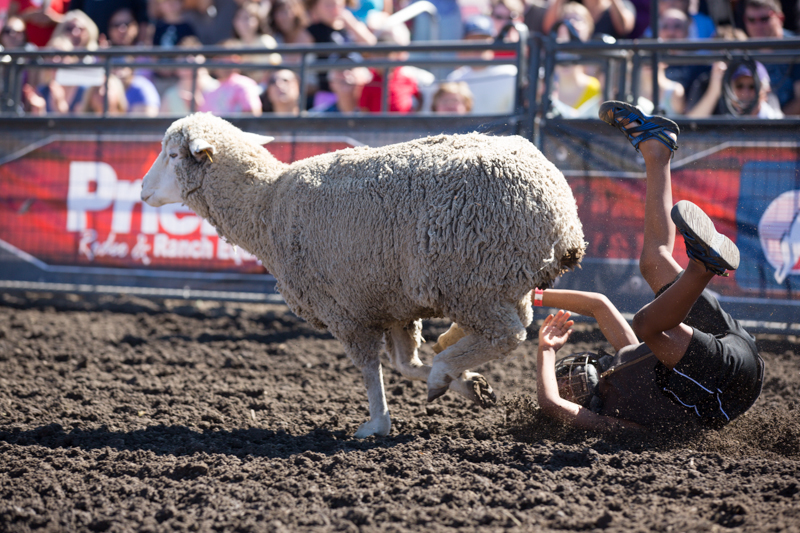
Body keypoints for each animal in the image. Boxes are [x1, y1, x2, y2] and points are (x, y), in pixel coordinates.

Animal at [141, 113, 585, 438]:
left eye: (173, 155)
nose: (142, 189)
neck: (266, 205)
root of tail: (564, 220)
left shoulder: (344, 309)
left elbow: (372, 369)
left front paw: (378, 423)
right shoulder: (394, 305)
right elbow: (405, 363)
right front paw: (472, 387)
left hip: (471, 278)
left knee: (508, 335)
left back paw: (443, 369)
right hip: (504, 281)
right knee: (512, 328)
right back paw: (452, 367)